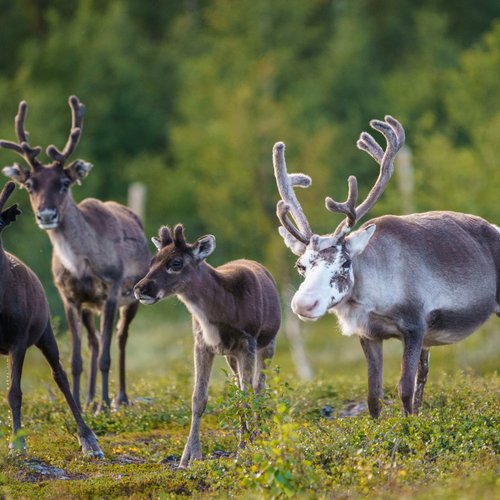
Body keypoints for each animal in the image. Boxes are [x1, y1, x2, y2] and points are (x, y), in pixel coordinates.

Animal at [134, 226, 282, 468]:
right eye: (152, 261)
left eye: (175, 263)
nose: (140, 288)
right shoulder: (202, 344)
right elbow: (198, 398)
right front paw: (189, 456)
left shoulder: (247, 342)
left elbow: (246, 396)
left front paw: (244, 449)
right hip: (230, 356)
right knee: (239, 384)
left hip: (268, 342)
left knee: (259, 388)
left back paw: (257, 434)